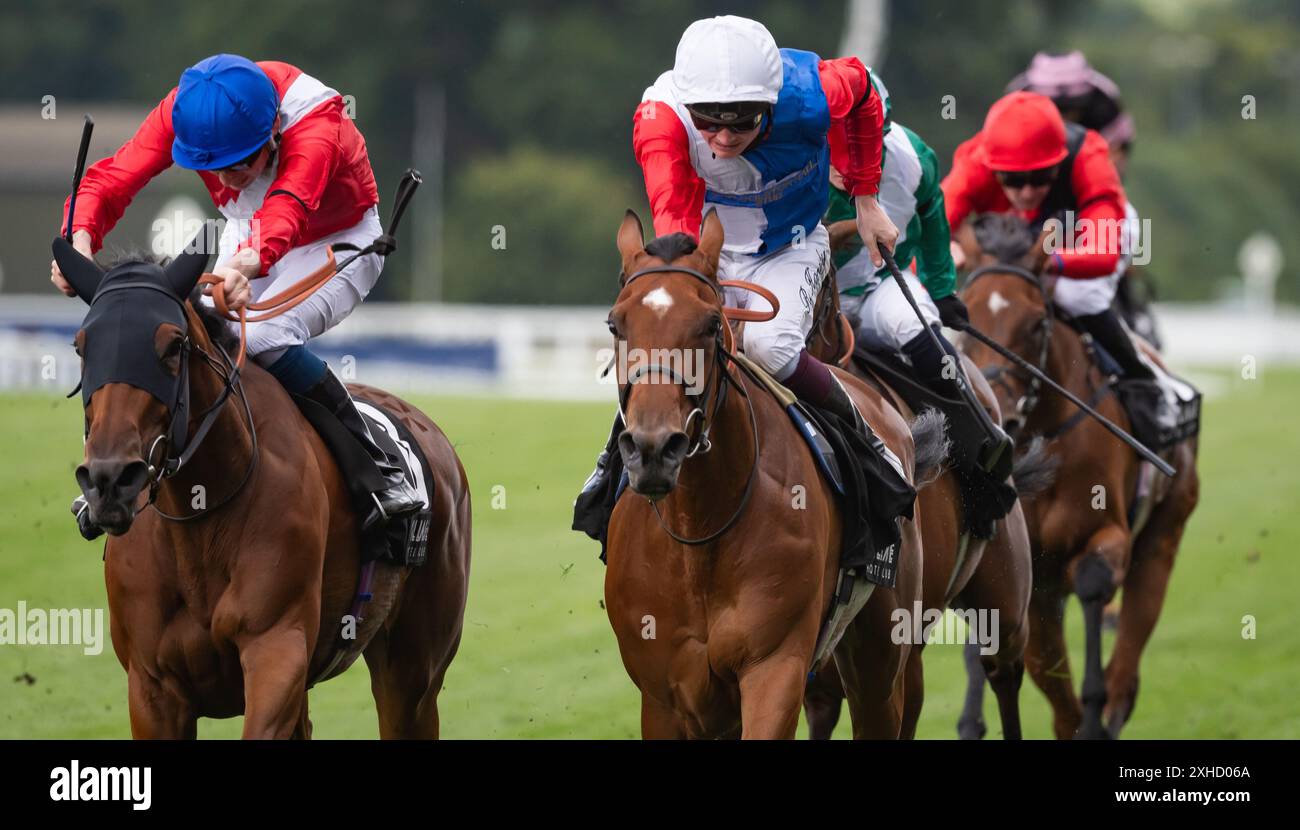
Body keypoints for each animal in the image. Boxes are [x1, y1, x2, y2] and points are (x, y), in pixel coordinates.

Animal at [603, 209, 930, 738]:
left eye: (710, 324)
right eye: (616, 323)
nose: (654, 448)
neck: (700, 532)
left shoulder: (775, 666)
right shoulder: (664, 696)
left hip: (880, 652)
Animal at [956, 215, 1196, 738]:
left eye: (1037, 323)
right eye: (964, 323)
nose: (1001, 418)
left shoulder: (1106, 536)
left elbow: (1092, 582)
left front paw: (1094, 710)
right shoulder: (1029, 577)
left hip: (1163, 535)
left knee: (1128, 657)